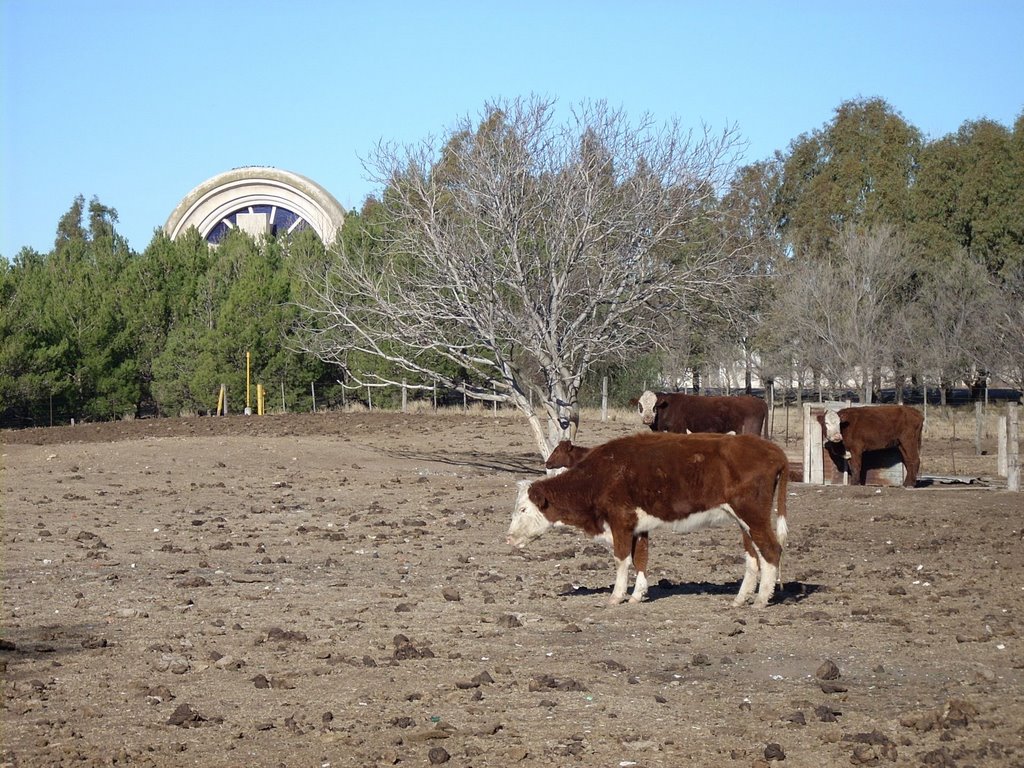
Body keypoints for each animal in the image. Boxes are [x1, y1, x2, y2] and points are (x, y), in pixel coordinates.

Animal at [507, 436, 786, 610]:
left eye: (522, 509)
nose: (508, 538)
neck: (602, 474)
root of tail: (774, 452)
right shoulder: (638, 527)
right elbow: (641, 558)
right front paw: (638, 595)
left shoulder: (620, 521)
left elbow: (622, 559)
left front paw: (617, 596)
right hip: (744, 521)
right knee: (754, 556)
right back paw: (741, 598)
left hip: (753, 515)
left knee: (771, 550)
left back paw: (762, 599)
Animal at [630, 391, 770, 438]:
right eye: (640, 405)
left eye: (654, 406)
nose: (648, 419)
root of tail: (759, 401)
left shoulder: (678, 431)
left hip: (750, 431)